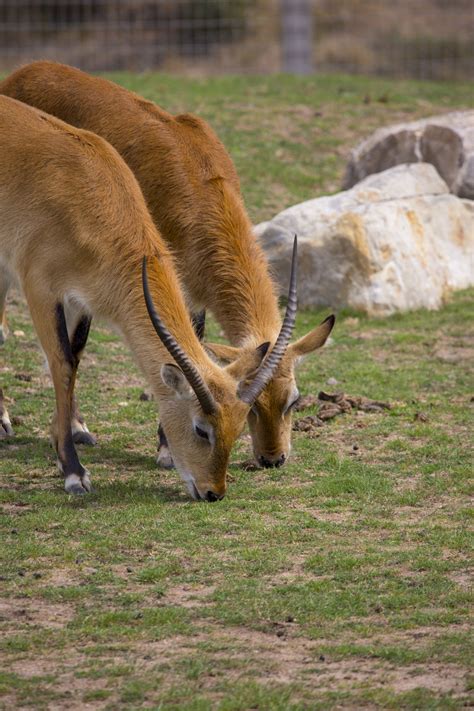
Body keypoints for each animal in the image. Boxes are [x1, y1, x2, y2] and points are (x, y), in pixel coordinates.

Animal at [0, 62, 336, 472]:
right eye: (253, 405)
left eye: (293, 400)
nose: (272, 458)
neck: (201, 191)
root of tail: (25, 71)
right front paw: (166, 450)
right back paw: (5, 422)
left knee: (73, 347)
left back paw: (78, 427)